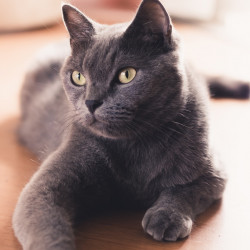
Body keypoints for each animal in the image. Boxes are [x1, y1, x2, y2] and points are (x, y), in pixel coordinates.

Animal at [12, 0, 229, 249]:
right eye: (78, 77)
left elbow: (185, 190)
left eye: (127, 75)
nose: (91, 102)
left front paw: (166, 217)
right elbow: (46, 223)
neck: (136, 146)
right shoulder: (44, 186)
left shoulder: (212, 171)